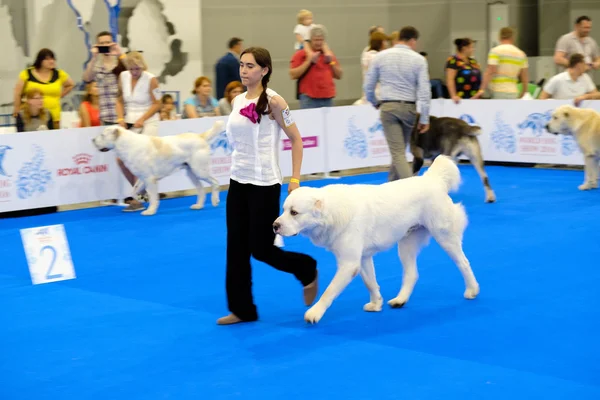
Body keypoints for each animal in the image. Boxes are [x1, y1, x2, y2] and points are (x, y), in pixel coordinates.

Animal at [92, 121, 224, 216]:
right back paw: (198, 205)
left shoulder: (149, 179)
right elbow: (134, 191)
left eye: (102, 135)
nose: (92, 140)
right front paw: (139, 200)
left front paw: (150, 210)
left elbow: (152, 196)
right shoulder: (142, 179)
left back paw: (215, 200)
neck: (126, 144)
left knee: (215, 182)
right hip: (192, 173)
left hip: (200, 171)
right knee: (201, 189)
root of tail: (199, 136)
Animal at [274, 155, 480, 324]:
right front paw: (376, 304)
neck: (332, 212)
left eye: (294, 213)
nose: (275, 225)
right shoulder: (363, 258)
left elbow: (329, 291)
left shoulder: (349, 263)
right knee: (412, 274)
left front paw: (314, 313)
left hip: (444, 236)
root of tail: (432, 179)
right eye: (283, 210)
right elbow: (370, 282)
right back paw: (400, 300)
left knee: (463, 263)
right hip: (406, 244)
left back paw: (472, 290)